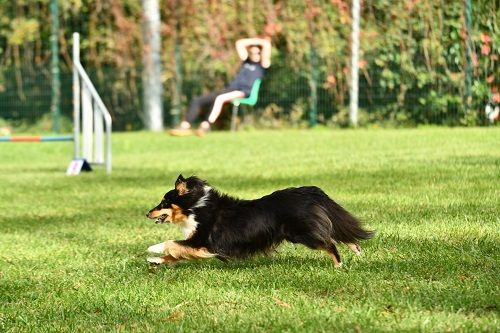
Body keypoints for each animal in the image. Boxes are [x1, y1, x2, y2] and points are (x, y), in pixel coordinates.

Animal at [146, 175, 374, 266]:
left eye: (163, 202)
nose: (147, 214)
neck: (195, 206)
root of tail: (309, 191)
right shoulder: (198, 246)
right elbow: (175, 253)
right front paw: (156, 261)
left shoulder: (202, 242)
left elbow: (171, 244)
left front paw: (152, 249)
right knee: (339, 234)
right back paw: (356, 250)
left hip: (302, 233)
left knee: (330, 242)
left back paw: (339, 266)